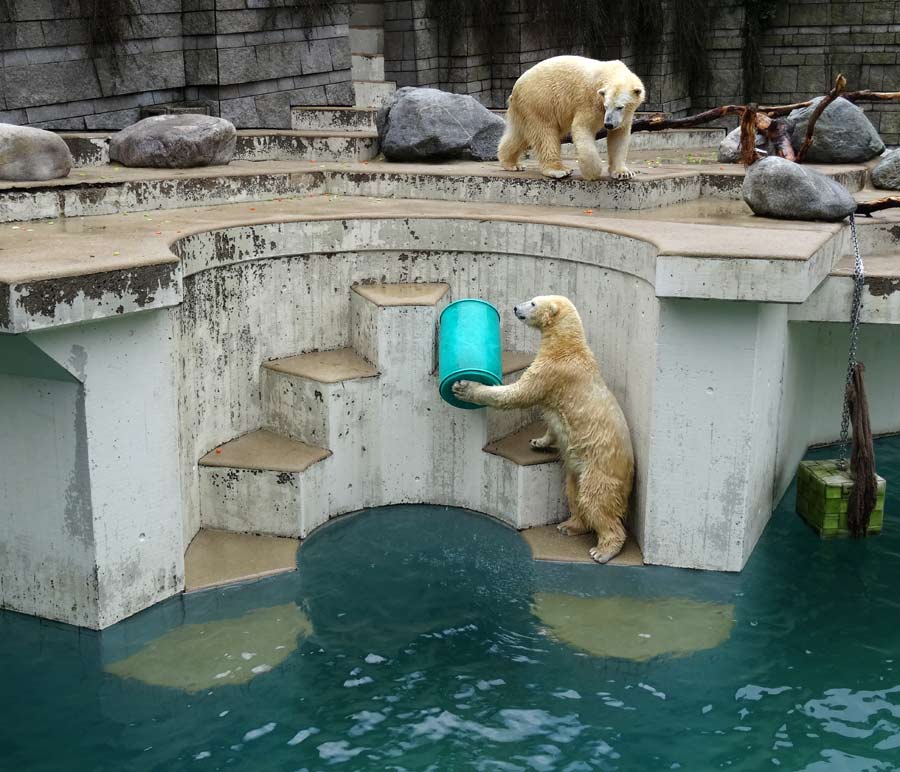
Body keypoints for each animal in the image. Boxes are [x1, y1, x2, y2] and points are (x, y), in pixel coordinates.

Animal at [454, 294, 636, 560]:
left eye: (532, 303)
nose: (515, 308)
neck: (567, 345)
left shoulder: (553, 371)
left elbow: (518, 393)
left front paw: (467, 387)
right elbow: (551, 421)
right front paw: (538, 441)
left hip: (600, 471)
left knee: (595, 502)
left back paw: (603, 550)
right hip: (579, 470)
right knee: (574, 492)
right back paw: (570, 525)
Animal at [496, 55, 644, 181]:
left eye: (620, 107)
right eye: (606, 106)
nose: (608, 124)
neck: (609, 72)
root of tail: (516, 88)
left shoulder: (624, 116)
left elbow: (619, 136)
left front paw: (623, 173)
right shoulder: (590, 102)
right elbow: (582, 128)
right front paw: (592, 172)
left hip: (525, 108)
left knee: (519, 135)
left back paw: (512, 163)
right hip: (539, 100)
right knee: (545, 133)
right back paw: (559, 170)